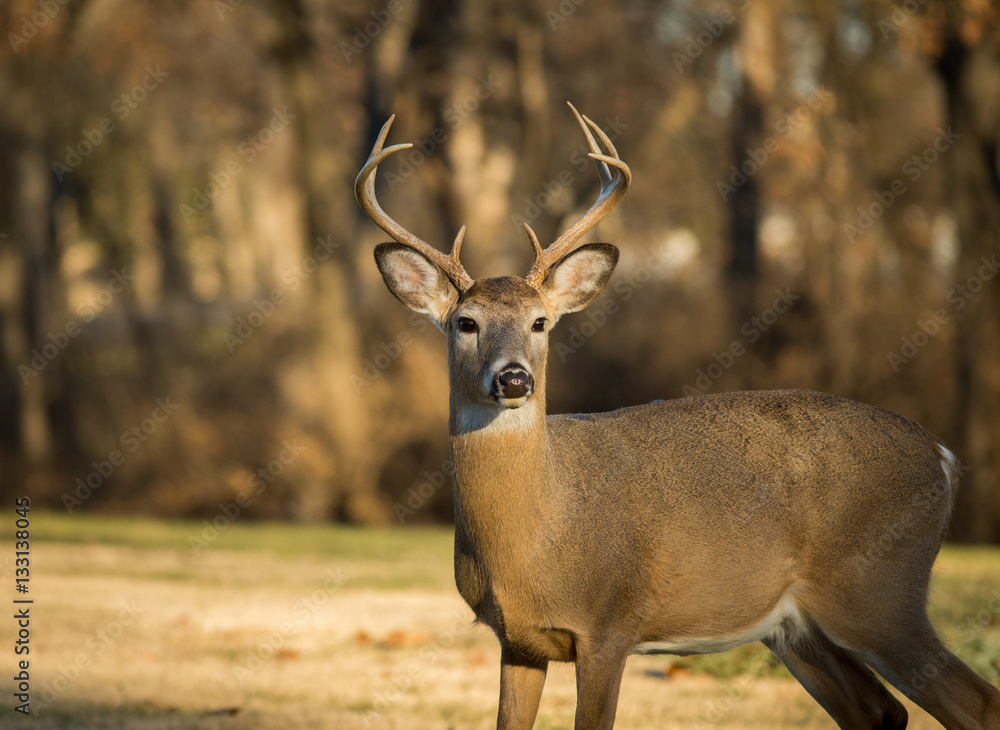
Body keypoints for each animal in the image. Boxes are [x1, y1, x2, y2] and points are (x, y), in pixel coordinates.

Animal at [355, 103, 1000, 729]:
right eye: (466, 323)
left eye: (540, 322)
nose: (514, 378)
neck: (535, 536)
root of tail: (942, 457)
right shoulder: (518, 642)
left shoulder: (609, 625)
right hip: (798, 629)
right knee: (880, 710)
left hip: (881, 592)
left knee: (975, 703)